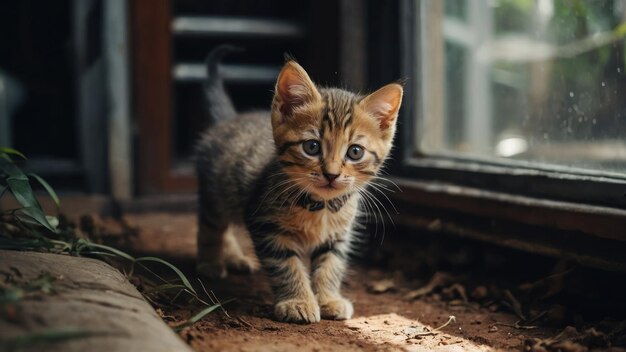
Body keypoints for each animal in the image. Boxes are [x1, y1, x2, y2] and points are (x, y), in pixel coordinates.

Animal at [195, 45, 400, 324]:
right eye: (311, 147)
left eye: (355, 152)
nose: (331, 174)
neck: (320, 205)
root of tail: (229, 121)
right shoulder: (267, 226)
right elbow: (287, 266)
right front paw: (298, 301)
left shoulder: (338, 235)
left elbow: (330, 265)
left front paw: (328, 299)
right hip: (214, 194)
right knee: (211, 225)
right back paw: (210, 262)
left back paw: (234, 258)